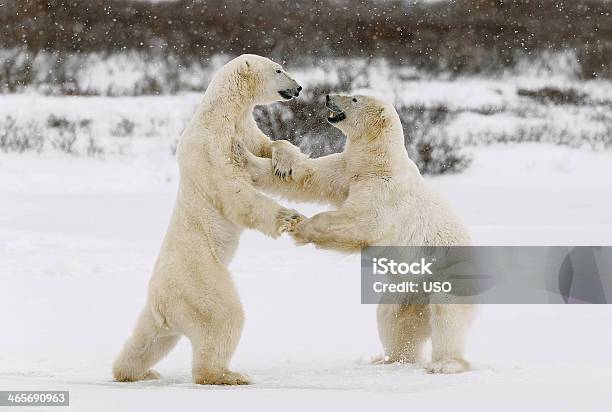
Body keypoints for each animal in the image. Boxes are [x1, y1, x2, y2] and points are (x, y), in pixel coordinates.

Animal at [111, 53, 304, 384]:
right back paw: (227, 375)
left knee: (148, 340)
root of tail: (163, 303)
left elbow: (267, 145)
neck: (221, 113)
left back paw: (136, 372)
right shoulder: (211, 148)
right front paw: (289, 217)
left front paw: (284, 162)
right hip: (199, 283)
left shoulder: (245, 127)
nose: (299, 87)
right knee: (222, 318)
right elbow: (235, 193)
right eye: (279, 70)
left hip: (158, 312)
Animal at [238, 93, 474, 374]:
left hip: (448, 273)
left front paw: (301, 227)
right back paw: (390, 359)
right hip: (405, 289)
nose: (328, 96)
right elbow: (308, 177)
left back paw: (445, 364)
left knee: (447, 315)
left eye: (354, 98)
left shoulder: (384, 190)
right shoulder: (347, 170)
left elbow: (364, 221)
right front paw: (244, 154)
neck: (379, 162)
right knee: (393, 318)